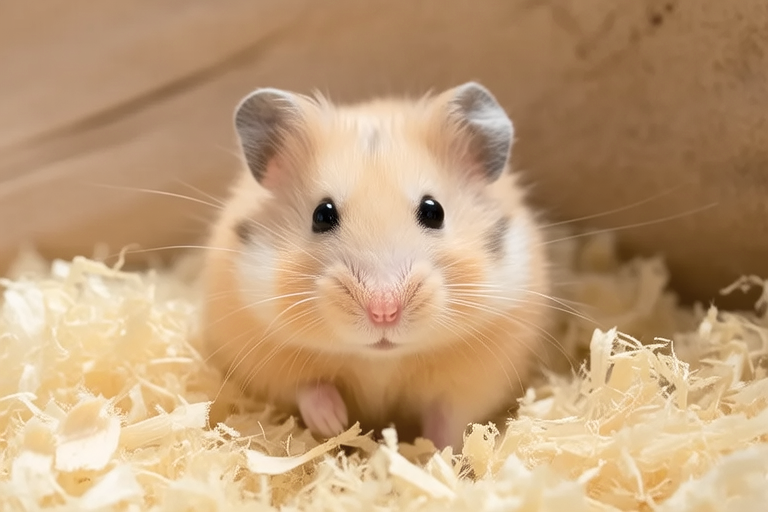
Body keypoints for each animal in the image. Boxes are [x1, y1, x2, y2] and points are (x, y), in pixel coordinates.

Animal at [201, 82, 551, 451]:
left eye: (434, 211)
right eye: (322, 215)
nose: (384, 311)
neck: (380, 360)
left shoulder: (476, 377)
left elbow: (449, 419)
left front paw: (440, 455)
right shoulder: (262, 358)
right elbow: (307, 388)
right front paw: (335, 423)